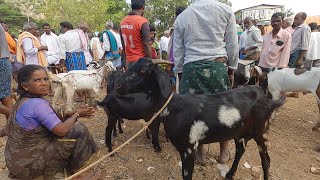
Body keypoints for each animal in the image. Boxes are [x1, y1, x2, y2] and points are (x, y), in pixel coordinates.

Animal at [115, 58, 284, 180]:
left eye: (143, 70)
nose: (117, 86)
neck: (174, 106)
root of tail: (267, 100)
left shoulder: (189, 148)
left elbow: (187, 175)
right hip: (239, 132)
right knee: (240, 150)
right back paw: (229, 174)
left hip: (261, 132)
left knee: (266, 160)